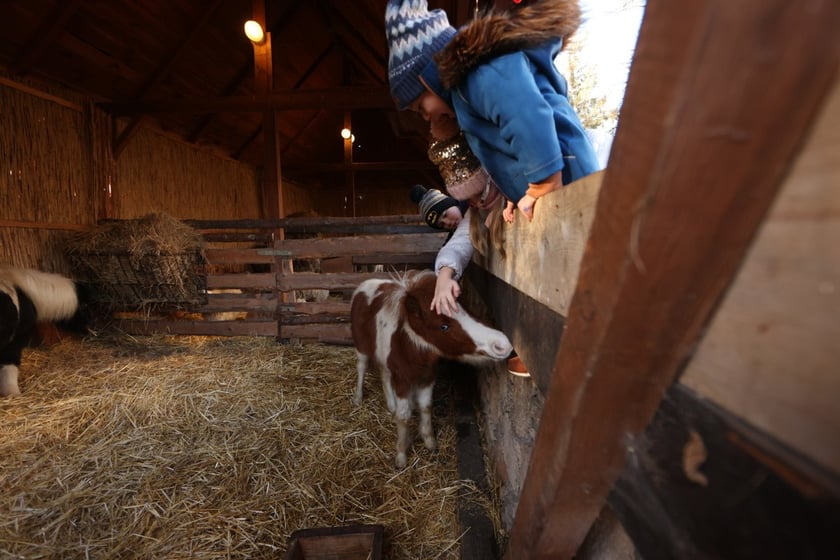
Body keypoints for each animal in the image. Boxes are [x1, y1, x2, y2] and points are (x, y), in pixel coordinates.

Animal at [350, 272, 512, 468]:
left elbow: (426, 407)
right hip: (361, 347)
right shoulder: (402, 380)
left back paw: (390, 405)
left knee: (384, 374)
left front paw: (430, 442)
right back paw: (358, 398)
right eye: (443, 326)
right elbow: (404, 415)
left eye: (466, 310)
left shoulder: (427, 377)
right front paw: (401, 455)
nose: (502, 344)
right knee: (361, 367)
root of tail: (364, 284)